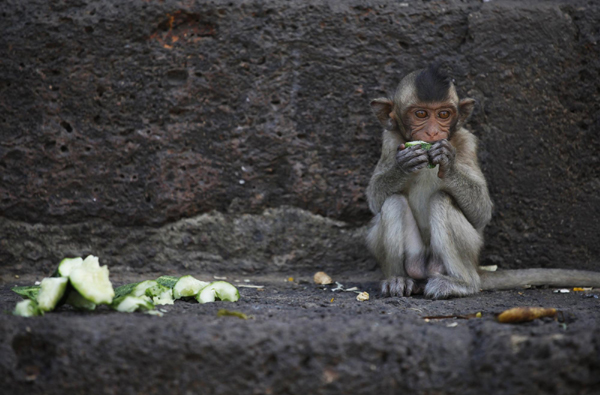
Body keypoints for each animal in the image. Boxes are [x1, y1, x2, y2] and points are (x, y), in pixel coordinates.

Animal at [366, 65, 600, 300]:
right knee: (393, 202)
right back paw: (399, 280)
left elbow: (482, 213)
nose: (433, 132)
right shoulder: (390, 141)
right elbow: (375, 199)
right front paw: (404, 164)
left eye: (443, 114)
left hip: (469, 250)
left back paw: (463, 284)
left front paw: (448, 163)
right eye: (421, 114)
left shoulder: (467, 142)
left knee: (442, 200)